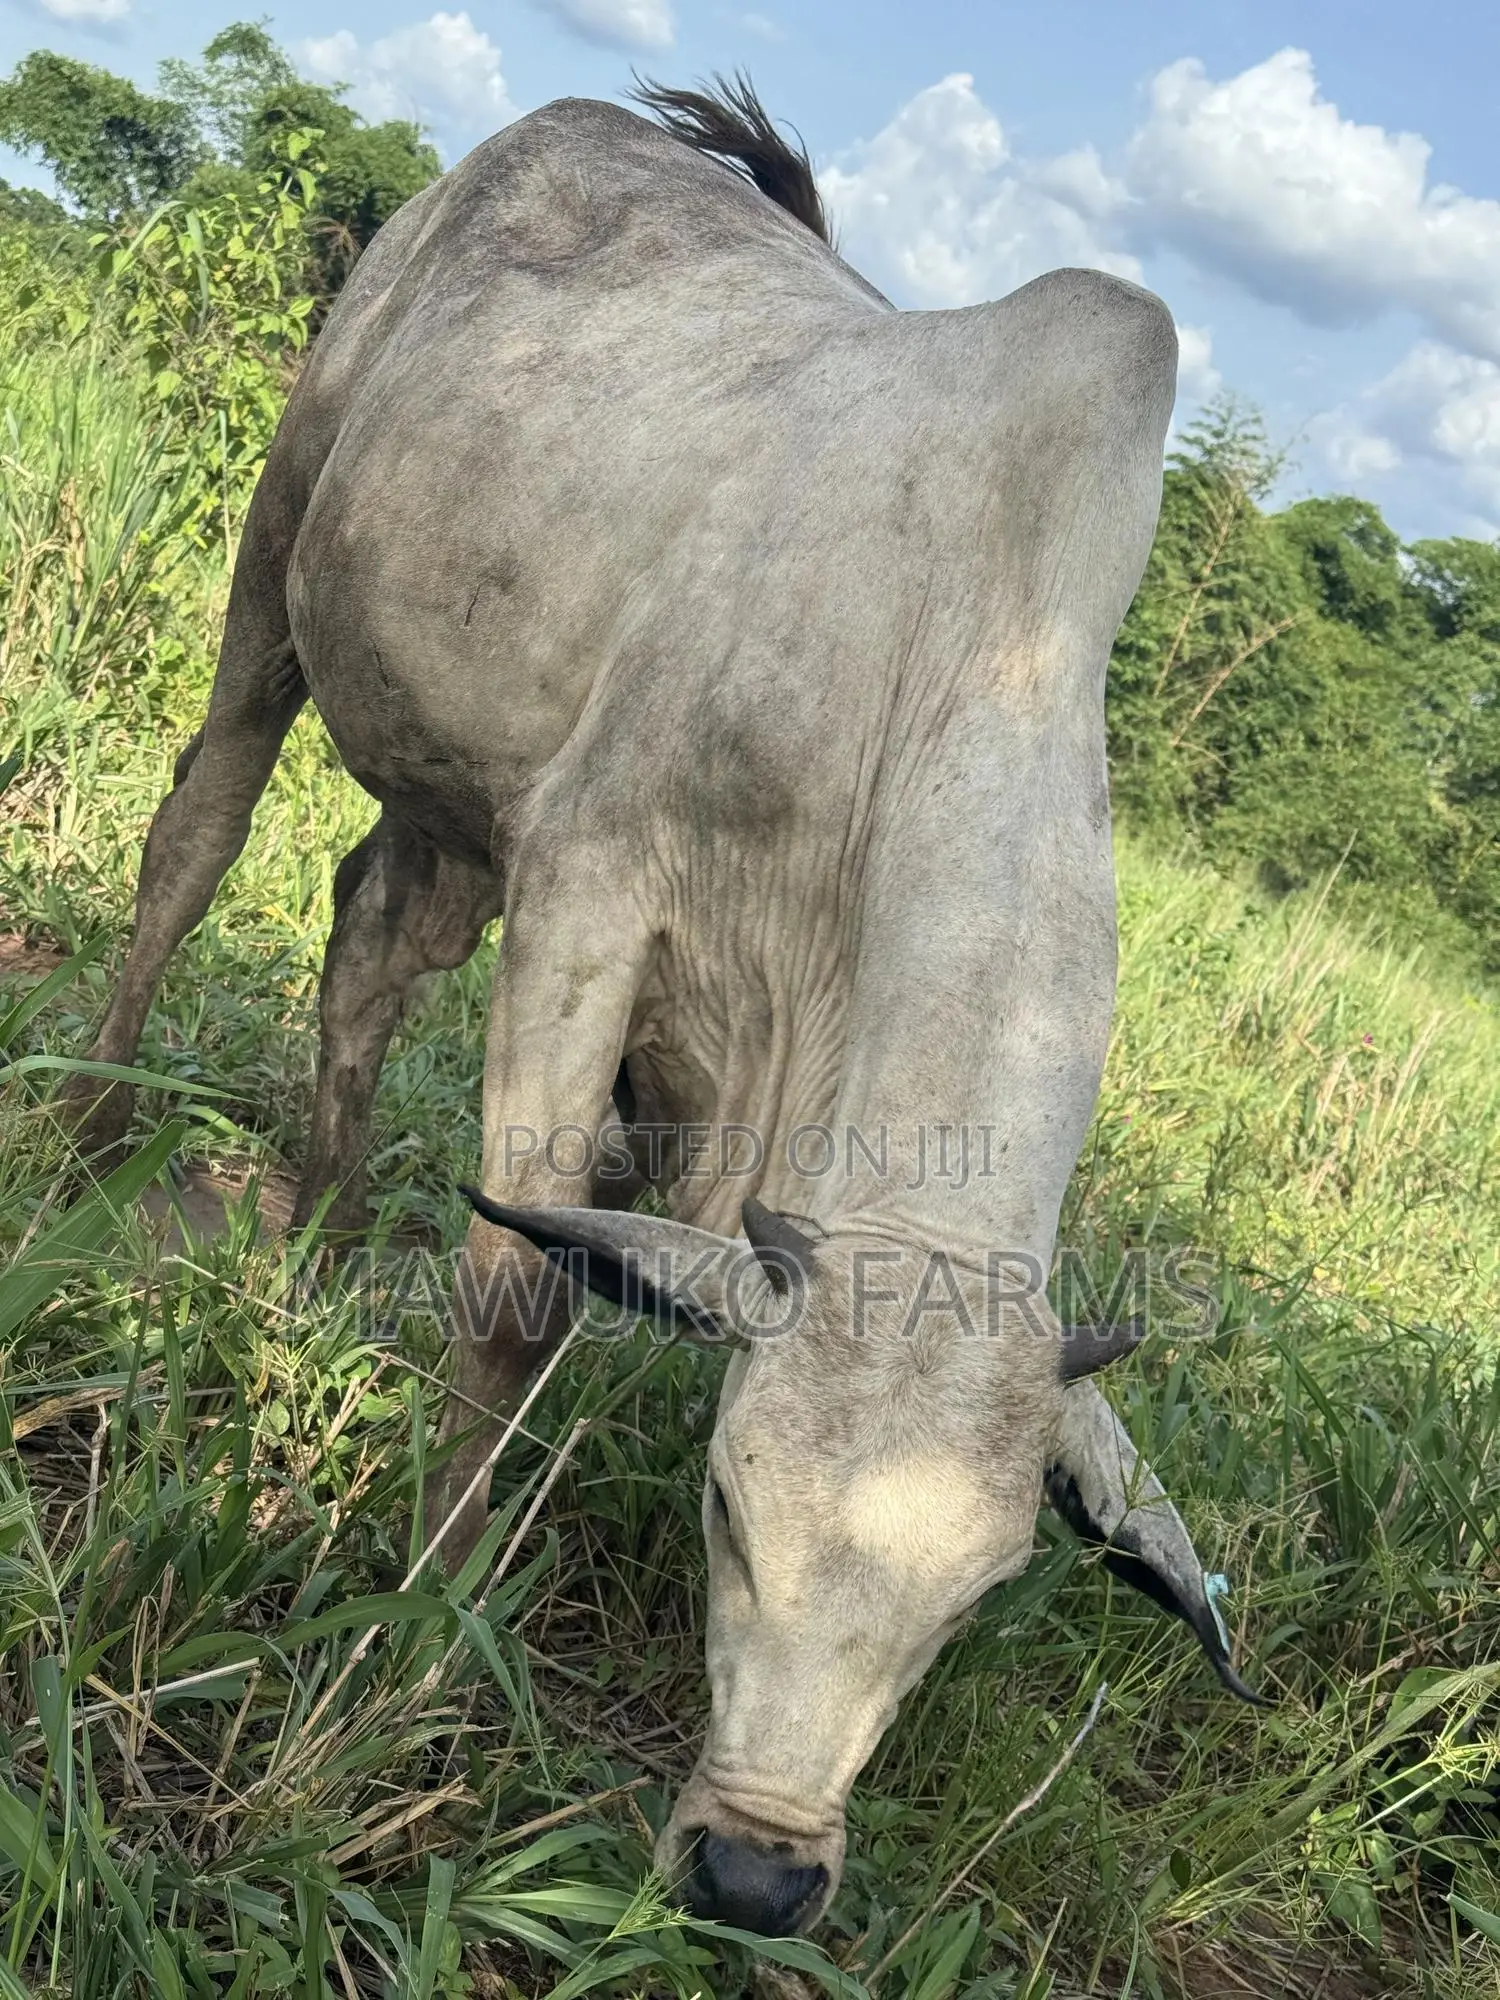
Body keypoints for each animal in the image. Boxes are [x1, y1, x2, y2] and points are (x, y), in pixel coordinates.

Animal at [66, 81, 1257, 1937]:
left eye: (977, 1597)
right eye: (725, 1505)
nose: (759, 1874)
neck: (935, 667)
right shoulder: (594, 880)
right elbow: (515, 1296)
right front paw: (420, 1635)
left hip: (455, 793)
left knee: (365, 941)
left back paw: (316, 1246)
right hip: (286, 543)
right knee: (198, 825)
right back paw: (86, 1129)